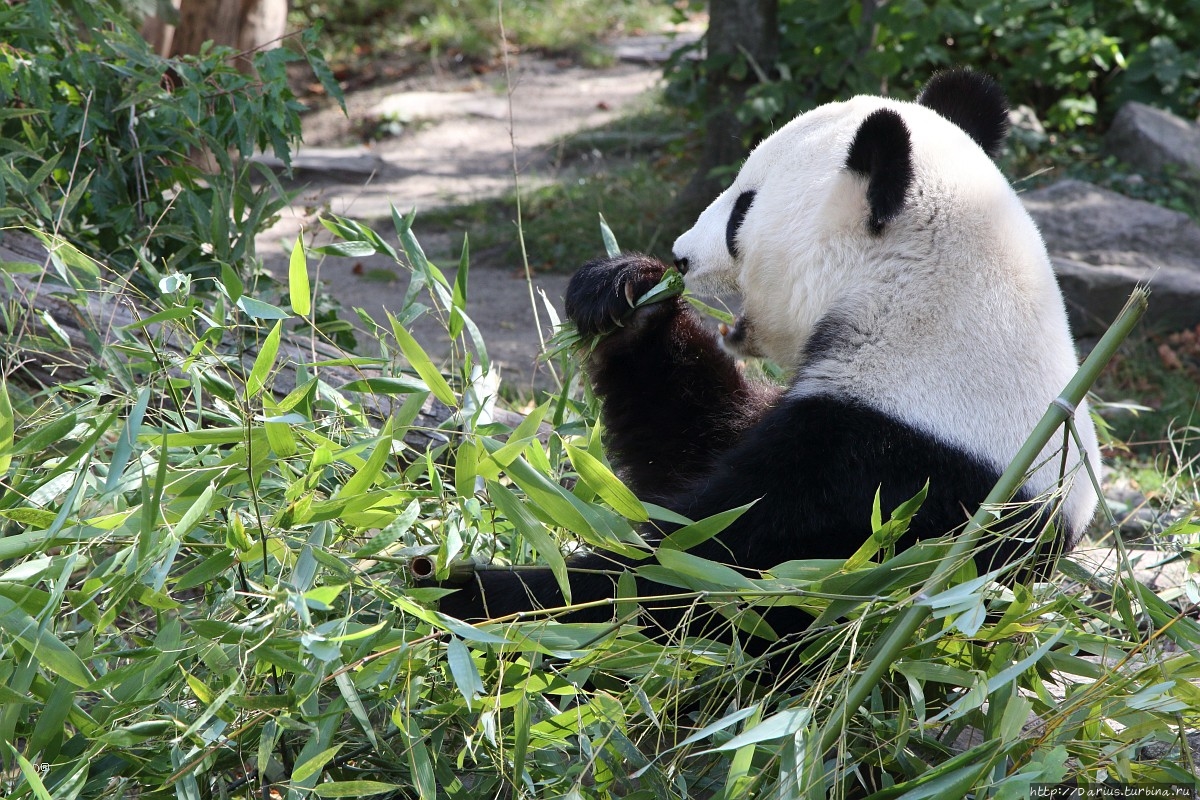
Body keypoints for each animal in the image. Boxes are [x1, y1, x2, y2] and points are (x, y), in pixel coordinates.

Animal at [436, 70, 1099, 642]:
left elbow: (703, 579)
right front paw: (624, 293)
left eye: (741, 209)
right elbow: (694, 442)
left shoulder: (892, 485)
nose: (679, 255)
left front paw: (469, 595)